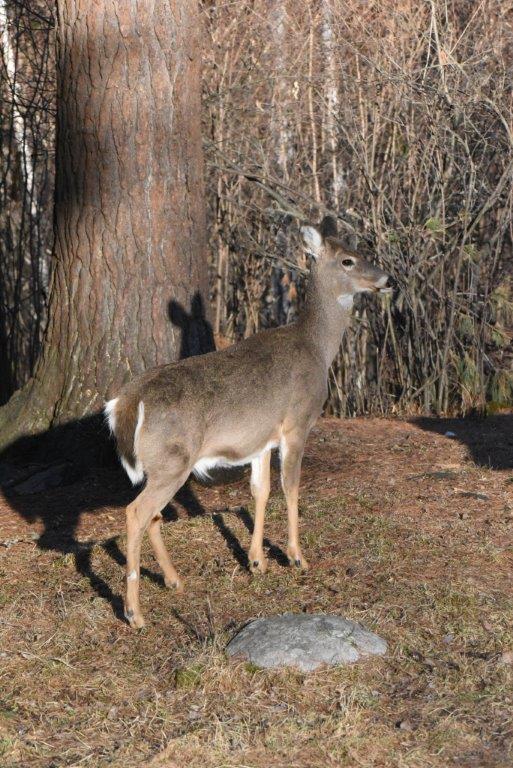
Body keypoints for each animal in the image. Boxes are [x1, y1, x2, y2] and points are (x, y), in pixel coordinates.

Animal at [105, 216, 391, 628]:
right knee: (135, 513)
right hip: (173, 460)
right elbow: (291, 486)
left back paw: (174, 581)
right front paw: (296, 556)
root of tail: (128, 400)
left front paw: (256, 561)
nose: (386, 278)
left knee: (152, 515)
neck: (317, 348)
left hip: (165, 464)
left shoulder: (261, 437)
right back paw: (135, 613)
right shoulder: (297, 421)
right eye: (348, 260)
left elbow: (260, 490)